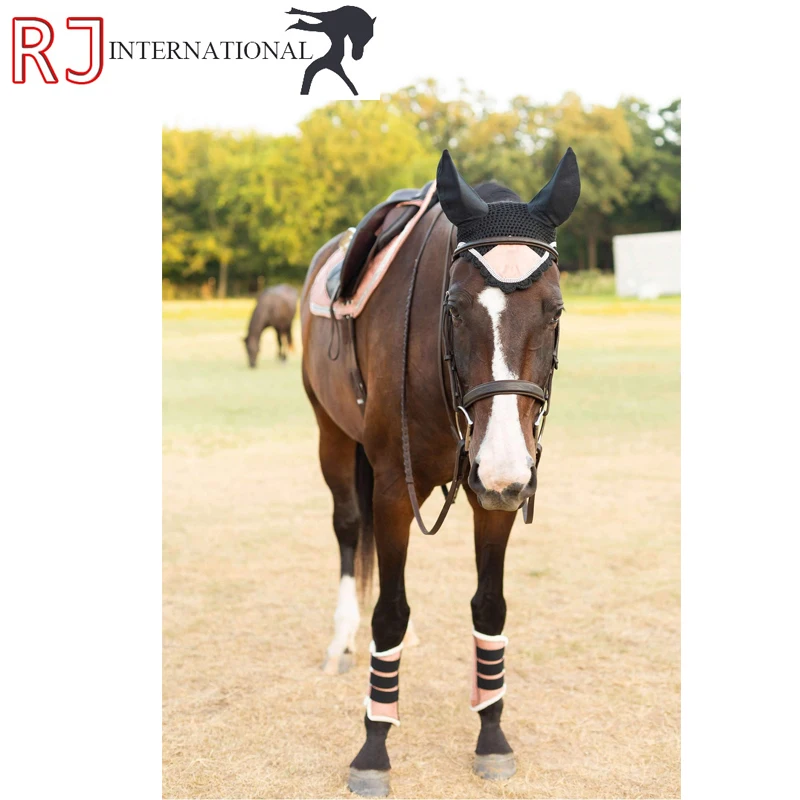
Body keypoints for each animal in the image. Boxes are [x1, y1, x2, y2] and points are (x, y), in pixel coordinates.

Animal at [300, 148, 580, 796]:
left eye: (555, 310)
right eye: (452, 308)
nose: (502, 465)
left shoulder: (495, 494)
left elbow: (489, 606)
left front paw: (492, 734)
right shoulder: (393, 489)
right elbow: (388, 612)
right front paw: (373, 747)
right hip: (333, 438)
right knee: (350, 530)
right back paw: (341, 638)